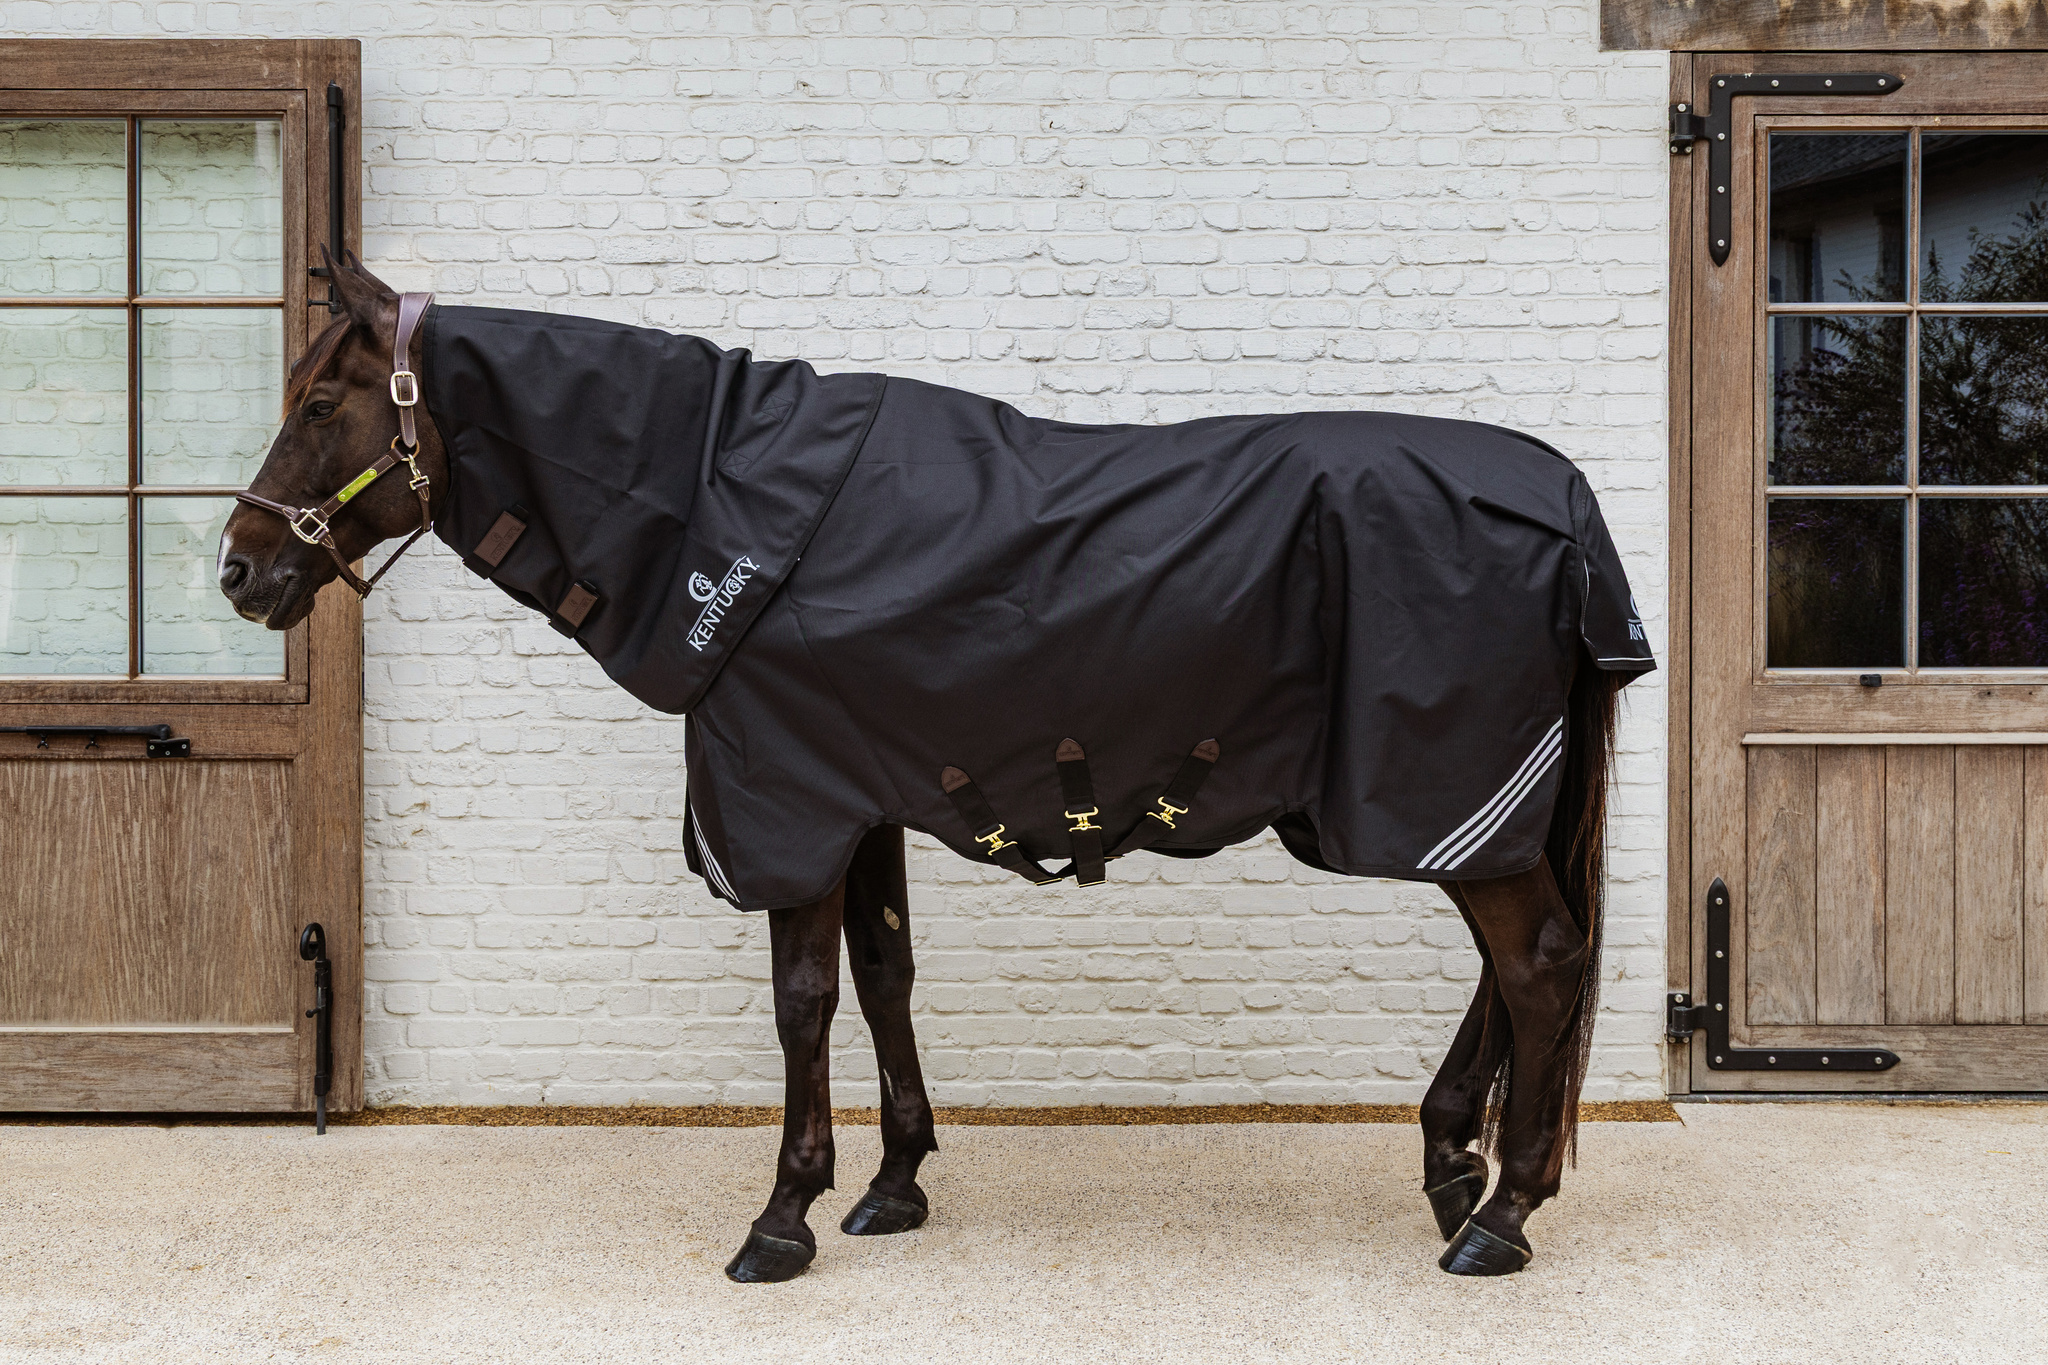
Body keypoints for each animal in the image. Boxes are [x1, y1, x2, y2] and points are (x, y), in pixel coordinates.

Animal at [221, 255, 1648, 1282]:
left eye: (317, 405)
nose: (239, 570)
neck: (720, 505)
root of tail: (1566, 505)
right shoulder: (858, 796)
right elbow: (882, 976)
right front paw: (892, 1183)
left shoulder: (786, 804)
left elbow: (802, 1000)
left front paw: (782, 1216)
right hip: (1473, 811)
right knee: (1515, 967)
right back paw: (1453, 1170)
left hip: (1440, 788)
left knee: (1538, 963)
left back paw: (1501, 1216)